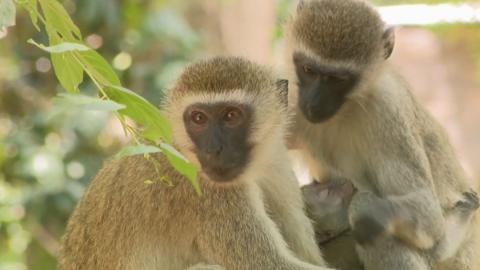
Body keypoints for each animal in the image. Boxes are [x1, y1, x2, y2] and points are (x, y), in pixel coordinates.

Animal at [57, 56, 334, 270]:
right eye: (199, 118)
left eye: (231, 115)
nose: (213, 150)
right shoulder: (211, 195)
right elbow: (269, 264)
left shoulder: (277, 164)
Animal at [284, 0, 480, 268]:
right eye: (308, 69)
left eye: (338, 79)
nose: (314, 103)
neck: (347, 108)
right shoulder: (291, 98)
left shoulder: (387, 106)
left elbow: (427, 214)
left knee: (377, 231)